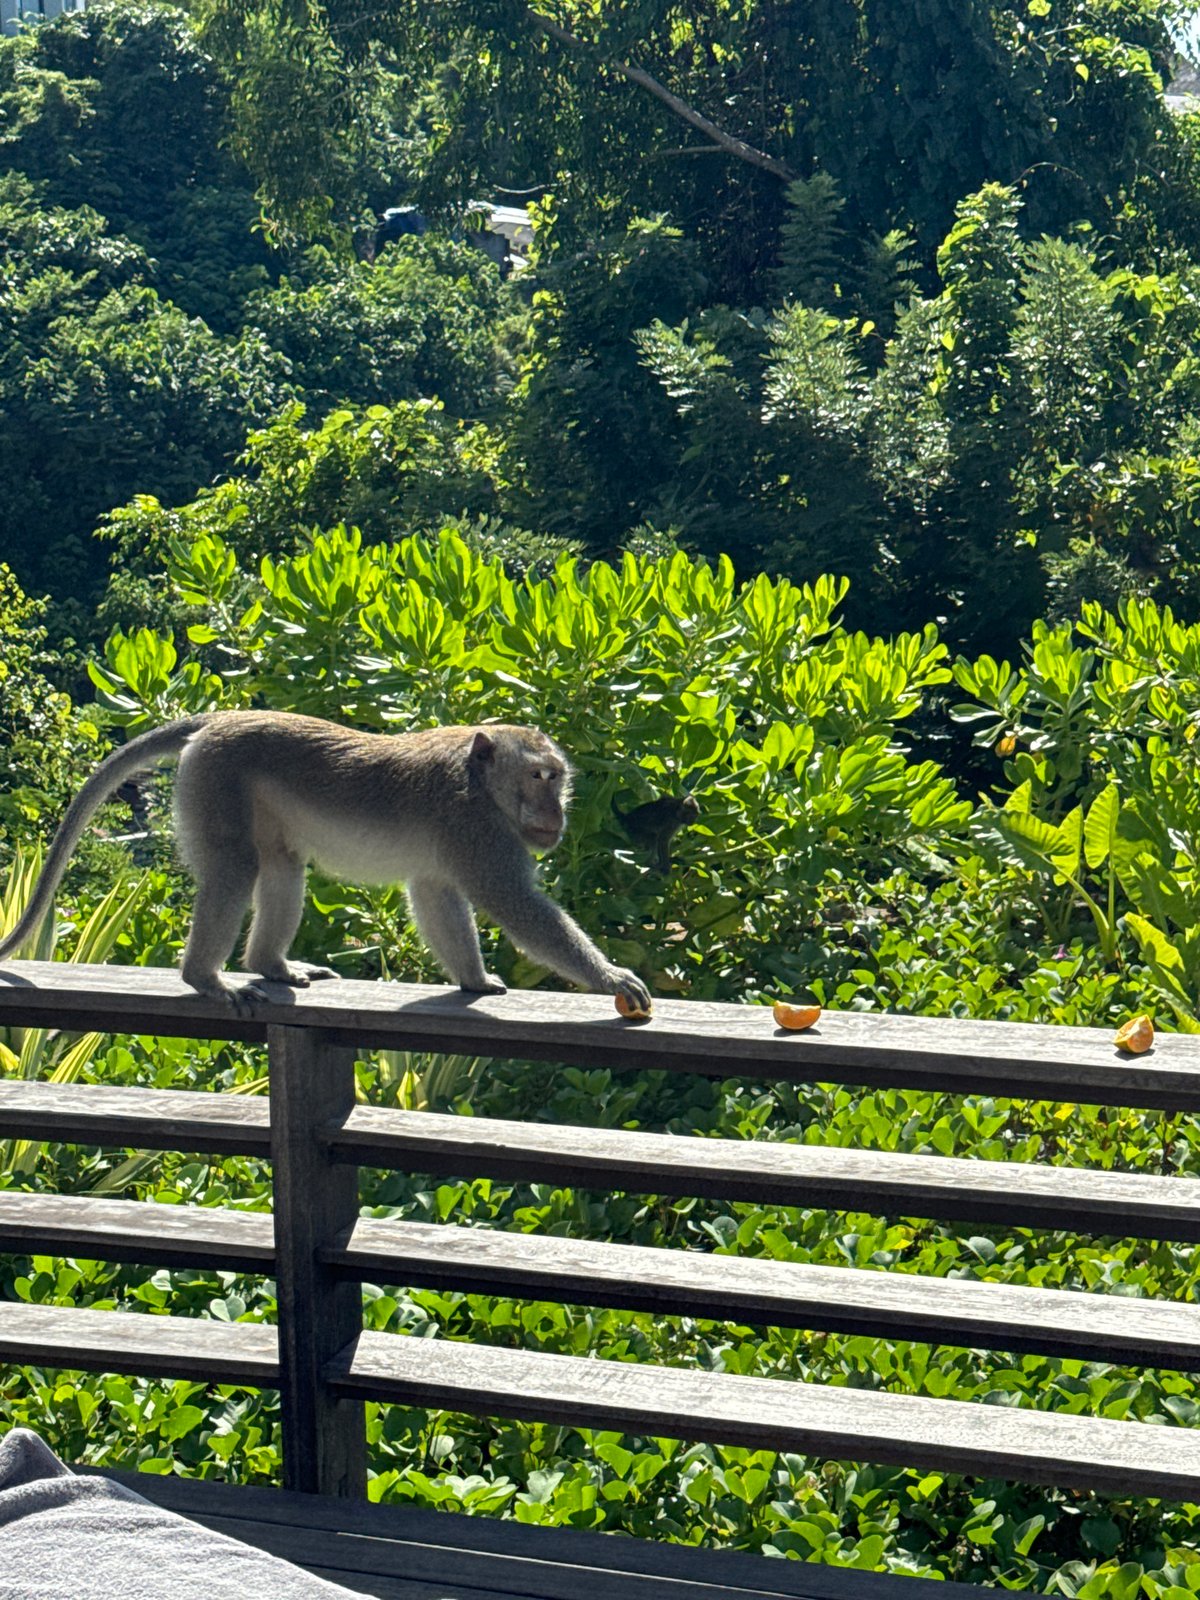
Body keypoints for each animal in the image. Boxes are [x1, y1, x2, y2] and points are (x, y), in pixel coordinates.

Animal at [0, 712, 652, 1012]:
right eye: (538, 778)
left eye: (558, 779)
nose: (556, 813)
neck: (480, 781)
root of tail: (217, 719)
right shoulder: (477, 828)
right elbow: (513, 902)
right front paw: (610, 978)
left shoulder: (458, 842)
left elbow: (434, 895)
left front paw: (472, 979)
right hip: (215, 779)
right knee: (236, 868)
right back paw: (206, 978)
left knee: (283, 866)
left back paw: (271, 964)